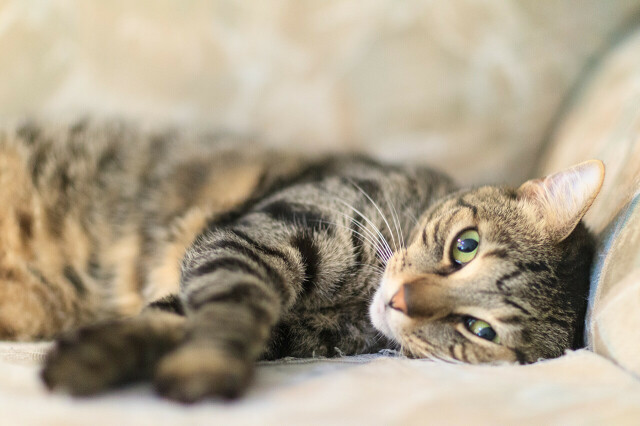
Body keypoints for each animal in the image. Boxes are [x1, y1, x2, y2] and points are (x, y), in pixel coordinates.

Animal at [0, 120, 604, 402]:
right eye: (465, 246)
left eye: (478, 329)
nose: (401, 300)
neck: (356, 303)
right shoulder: (259, 237)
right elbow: (232, 306)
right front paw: (205, 368)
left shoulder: (286, 329)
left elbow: (172, 319)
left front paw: (105, 357)